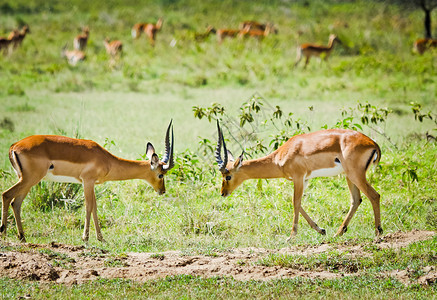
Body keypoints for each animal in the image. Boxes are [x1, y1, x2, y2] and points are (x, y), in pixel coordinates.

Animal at [2, 119, 175, 241]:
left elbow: (95, 208)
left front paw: (100, 238)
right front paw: (85, 238)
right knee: (6, 195)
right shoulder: (87, 181)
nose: (162, 191)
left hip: (25, 180)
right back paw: (3, 233)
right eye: (161, 174)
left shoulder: (91, 184)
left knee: (16, 203)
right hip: (30, 179)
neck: (107, 160)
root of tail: (14, 146)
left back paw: (22, 237)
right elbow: (89, 206)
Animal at [215, 120, 382, 240]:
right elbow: (299, 203)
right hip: (349, 176)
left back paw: (378, 233)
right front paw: (321, 230)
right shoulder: (304, 180)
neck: (280, 156)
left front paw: (291, 236)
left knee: (374, 195)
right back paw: (338, 233)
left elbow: (295, 202)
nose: (223, 193)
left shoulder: (298, 177)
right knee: (356, 200)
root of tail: (373, 143)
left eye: (228, 176)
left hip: (355, 175)